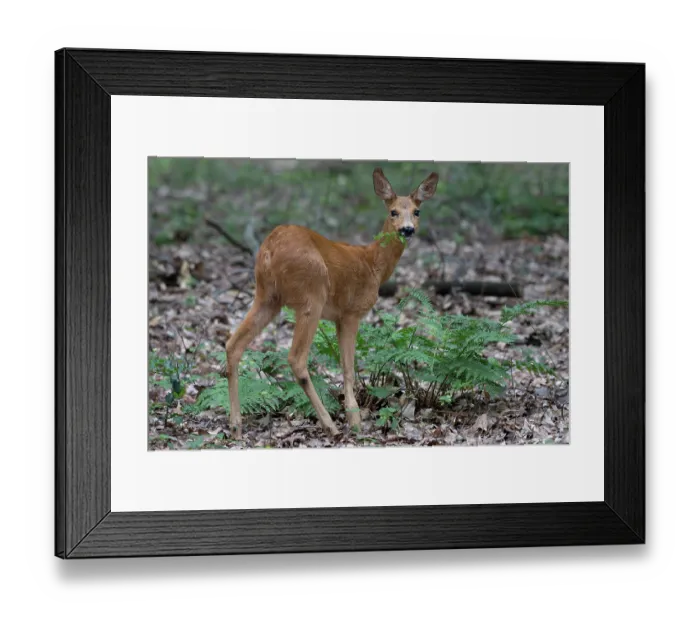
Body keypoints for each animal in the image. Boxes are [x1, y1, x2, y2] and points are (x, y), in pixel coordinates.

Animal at [225, 167, 439, 439]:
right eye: (393, 212)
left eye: (416, 211)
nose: (408, 229)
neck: (374, 265)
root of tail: (268, 251)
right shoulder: (351, 312)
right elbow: (348, 366)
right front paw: (355, 420)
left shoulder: (338, 316)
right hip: (312, 293)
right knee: (296, 358)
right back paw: (329, 424)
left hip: (267, 296)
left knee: (233, 345)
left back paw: (235, 425)